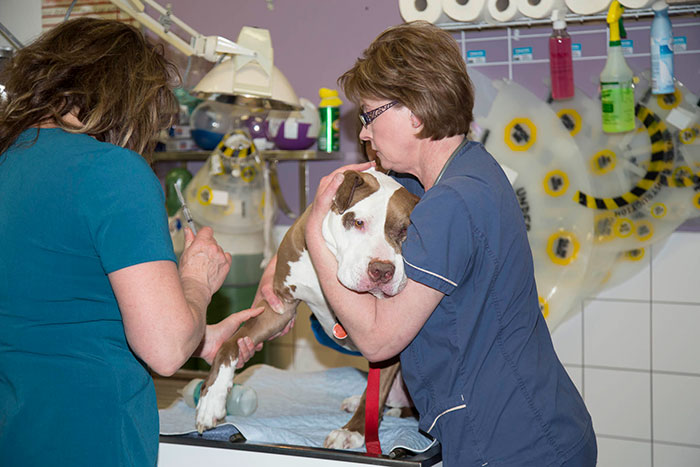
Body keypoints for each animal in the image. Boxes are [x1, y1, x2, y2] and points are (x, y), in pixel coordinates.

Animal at [194, 167, 418, 450]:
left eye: (404, 230)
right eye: (358, 222)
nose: (382, 271)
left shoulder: (386, 337)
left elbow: (374, 395)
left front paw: (352, 431)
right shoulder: (279, 307)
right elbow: (231, 343)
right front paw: (211, 401)